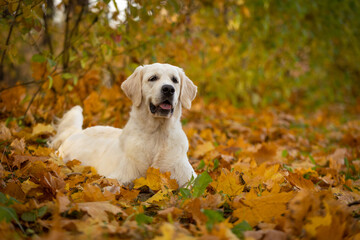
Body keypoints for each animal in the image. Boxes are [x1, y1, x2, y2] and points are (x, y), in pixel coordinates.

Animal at [49, 63, 197, 188]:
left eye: (175, 80)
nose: (168, 89)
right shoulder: (120, 175)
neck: (157, 133)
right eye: (153, 78)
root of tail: (77, 131)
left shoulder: (189, 177)